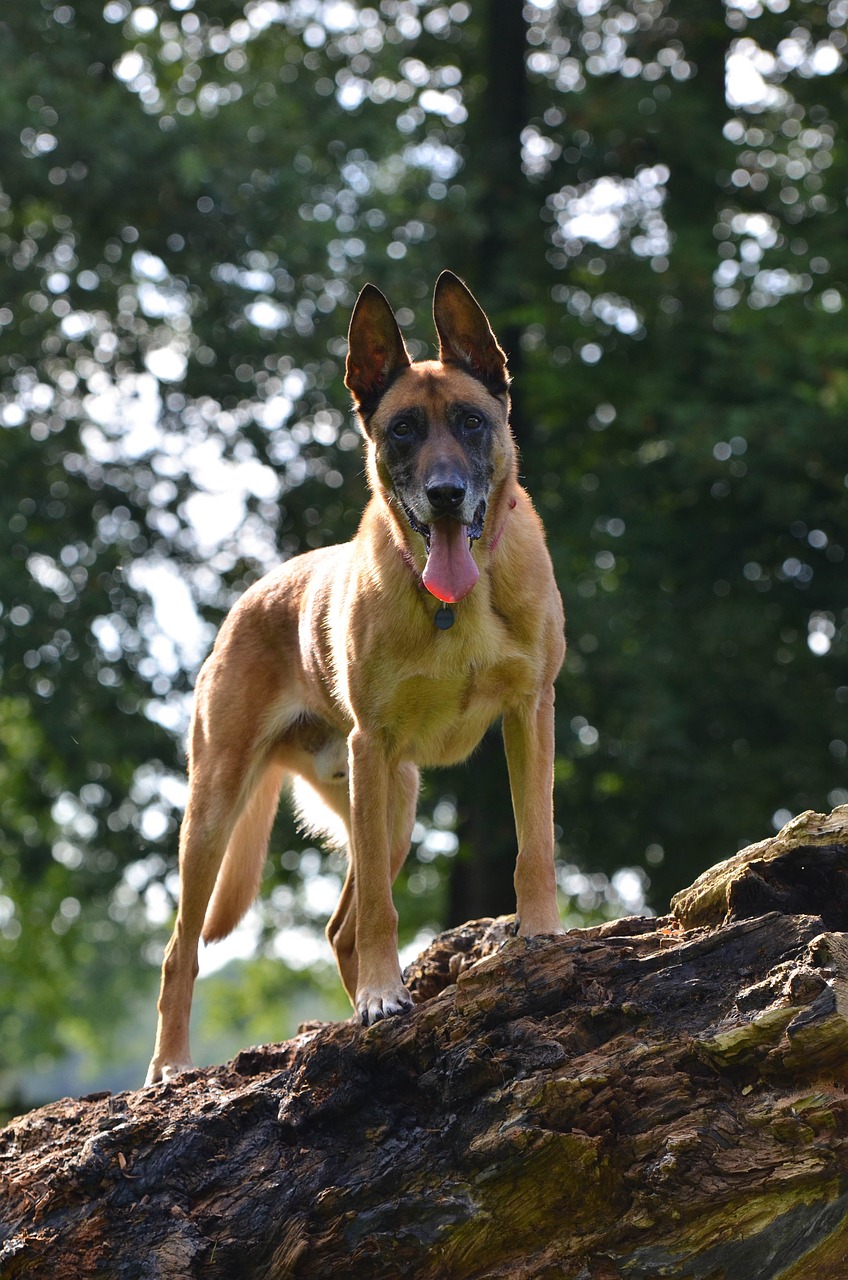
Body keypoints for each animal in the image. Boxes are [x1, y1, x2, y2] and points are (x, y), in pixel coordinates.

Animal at [147, 270, 568, 1080]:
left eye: (471, 421)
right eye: (403, 430)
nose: (444, 495)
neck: (454, 603)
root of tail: (250, 598)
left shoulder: (530, 713)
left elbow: (534, 846)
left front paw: (539, 938)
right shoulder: (372, 745)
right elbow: (379, 906)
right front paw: (382, 996)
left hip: (397, 802)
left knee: (337, 927)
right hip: (220, 809)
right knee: (183, 950)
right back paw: (173, 1067)